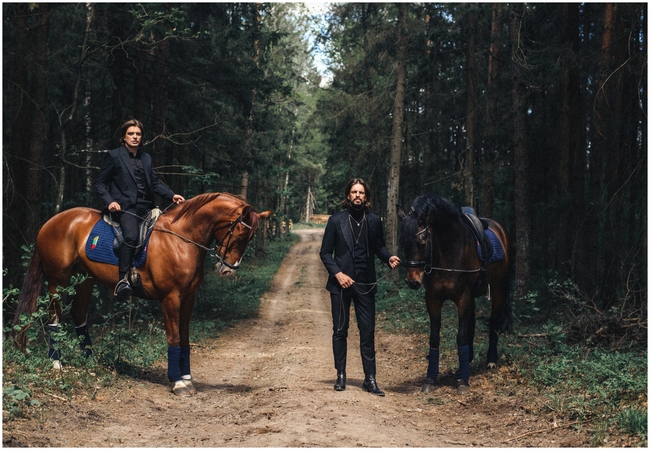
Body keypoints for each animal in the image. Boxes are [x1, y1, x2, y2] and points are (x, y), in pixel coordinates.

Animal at [12, 192, 270, 396]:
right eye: (238, 234)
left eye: (248, 238)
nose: (228, 269)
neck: (181, 240)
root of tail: (51, 222)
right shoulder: (170, 298)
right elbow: (174, 337)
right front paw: (178, 382)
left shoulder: (188, 298)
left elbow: (185, 338)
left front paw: (187, 378)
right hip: (58, 280)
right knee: (54, 318)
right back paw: (56, 363)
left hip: (85, 278)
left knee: (79, 315)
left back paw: (91, 360)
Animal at [394, 194, 512, 394]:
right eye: (403, 243)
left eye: (422, 243)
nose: (412, 281)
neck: (448, 251)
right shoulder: (433, 299)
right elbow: (435, 337)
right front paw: (430, 379)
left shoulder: (462, 298)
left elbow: (461, 336)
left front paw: (463, 381)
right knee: (472, 325)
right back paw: (468, 362)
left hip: (498, 291)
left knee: (494, 322)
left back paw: (491, 361)